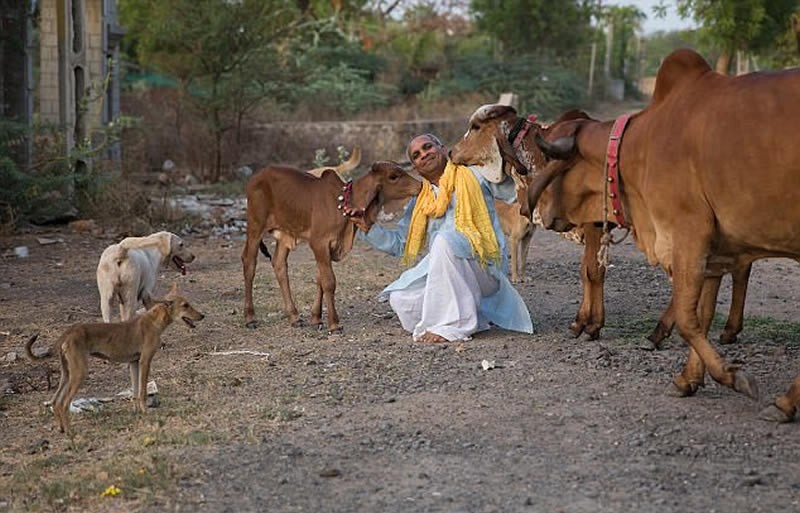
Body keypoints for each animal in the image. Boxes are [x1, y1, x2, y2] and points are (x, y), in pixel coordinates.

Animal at [26, 286, 205, 434]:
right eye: (185, 305)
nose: (203, 315)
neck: (153, 321)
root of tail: (68, 332)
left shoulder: (134, 363)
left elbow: (135, 392)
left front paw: (138, 412)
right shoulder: (145, 361)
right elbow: (142, 392)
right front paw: (146, 412)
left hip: (67, 374)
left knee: (55, 401)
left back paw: (62, 429)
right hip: (79, 373)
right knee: (64, 403)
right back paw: (70, 432)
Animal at [241, 160, 422, 332]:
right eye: (393, 176)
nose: (420, 185)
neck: (342, 203)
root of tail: (256, 176)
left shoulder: (327, 248)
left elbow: (320, 278)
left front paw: (316, 318)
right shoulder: (319, 244)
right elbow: (328, 281)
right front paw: (334, 324)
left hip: (285, 234)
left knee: (279, 264)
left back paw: (294, 316)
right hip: (255, 226)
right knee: (249, 262)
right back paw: (250, 318)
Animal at [524, 49, 800, 420]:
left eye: (548, 158)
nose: (540, 213)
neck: (638, 145)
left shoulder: (688, 234)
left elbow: (687, 317)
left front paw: (733, 376)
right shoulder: (713, 250)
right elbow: (701, 316)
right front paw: (688, 379)